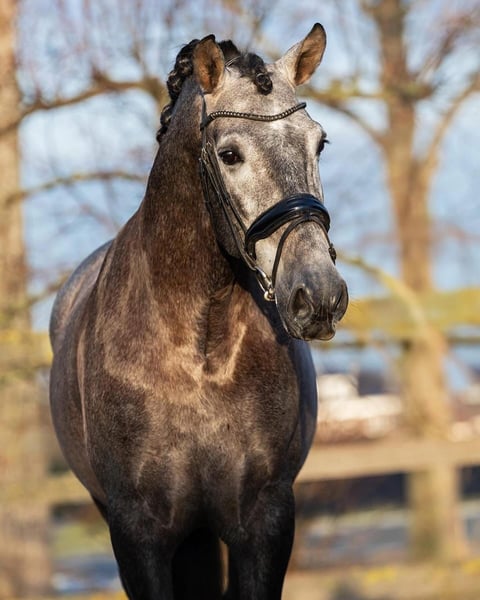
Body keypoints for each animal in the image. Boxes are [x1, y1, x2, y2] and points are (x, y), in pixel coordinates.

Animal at [49, 24, 348, 600]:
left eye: (319, 143)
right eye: (229, 154)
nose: (319, 295)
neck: (199, 353)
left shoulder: (265, 523)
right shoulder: (138, 534)